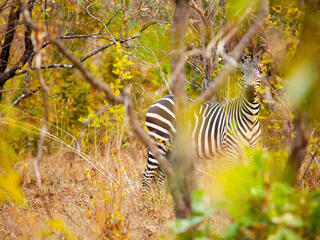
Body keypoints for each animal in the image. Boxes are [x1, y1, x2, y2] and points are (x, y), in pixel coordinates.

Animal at [142, 55, 262, 191]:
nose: (250, 92)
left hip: (169, 149)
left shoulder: (250, 152)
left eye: (260, 72)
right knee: (146, 177)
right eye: (242, 72)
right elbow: (231, 180)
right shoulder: (230, 152)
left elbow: (246, 180)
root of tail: (158, 100)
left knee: (158, 179)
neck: (250, 118)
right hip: (158, 140)